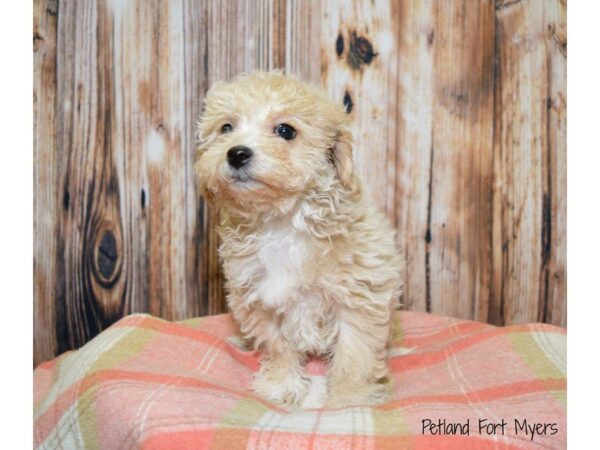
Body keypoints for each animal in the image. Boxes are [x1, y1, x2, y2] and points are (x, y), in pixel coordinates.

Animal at [197, 71, 404, 408]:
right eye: (226, 128)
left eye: (285, 130)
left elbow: (355, 354)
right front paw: (282, 385)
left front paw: (349, 399)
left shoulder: (359, 296)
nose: (237, 152)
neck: (282, 222)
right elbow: (278, 346)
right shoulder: (257, 298)